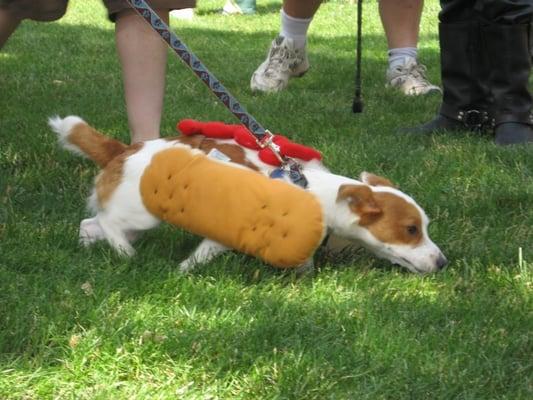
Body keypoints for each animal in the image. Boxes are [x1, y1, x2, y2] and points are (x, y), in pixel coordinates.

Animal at [50, 114, 446, 274]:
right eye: (411, 230)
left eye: (423, 228)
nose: (443, 262)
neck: (309, 189)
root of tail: (123, 150)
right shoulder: (226, 233)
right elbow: (202, 255)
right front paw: (183, 271)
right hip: (141, 215)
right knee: (107, 222)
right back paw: (126, 255)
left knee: (90, 223)